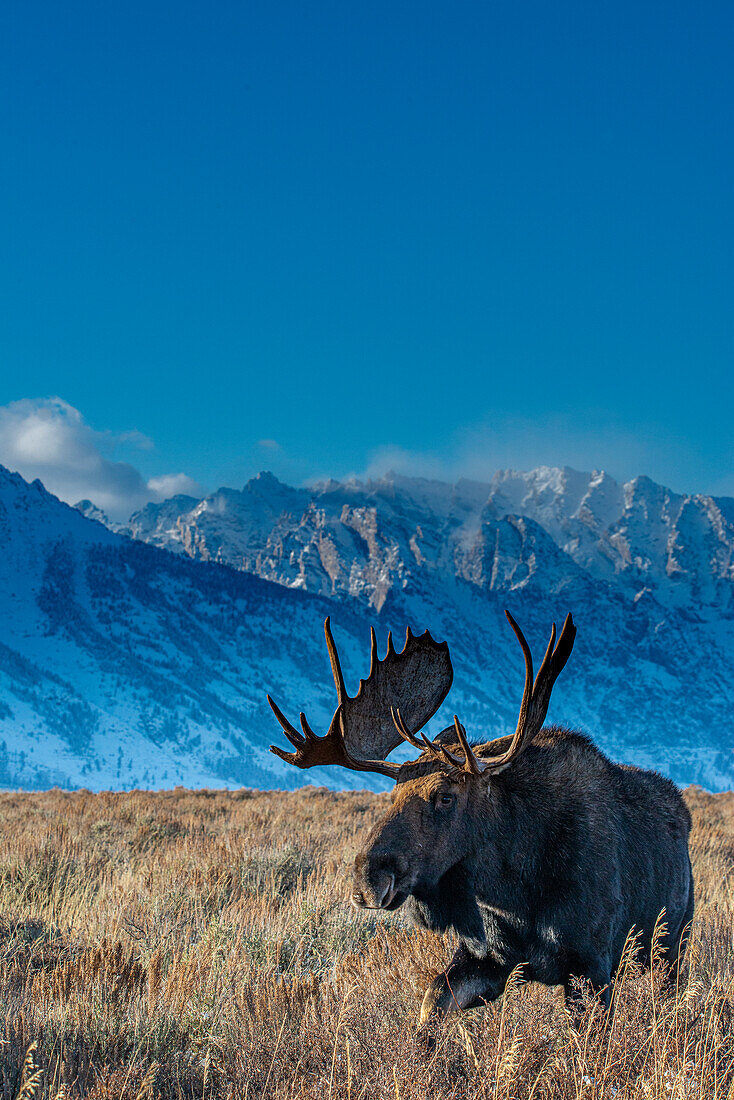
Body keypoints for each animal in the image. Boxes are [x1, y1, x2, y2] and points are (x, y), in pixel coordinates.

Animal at [268, 616, 695, 1025]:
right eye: (393, 793)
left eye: (445, 796)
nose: (367, 880)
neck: (516, 889)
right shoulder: (486, 956)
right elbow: (431, 1003)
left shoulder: (591, 965)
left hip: (672, 948)